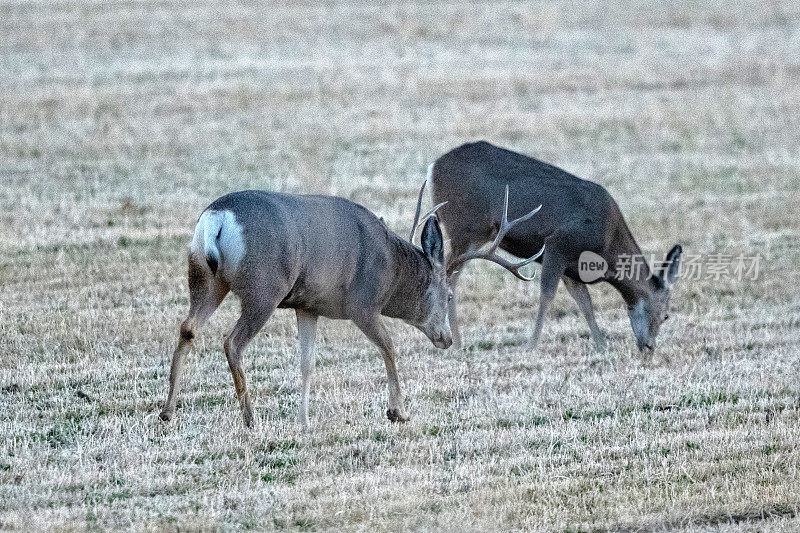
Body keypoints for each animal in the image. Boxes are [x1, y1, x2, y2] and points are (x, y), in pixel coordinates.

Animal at [159, 187, 536, 428]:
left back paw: (167, 411)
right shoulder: (362, 304)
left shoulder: (307, 305)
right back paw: (251, 418)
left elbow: (307, 362)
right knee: (232, 341)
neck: (391, 269)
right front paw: (398, 412)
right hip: (264, 288)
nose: (446, 339)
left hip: (205, 277)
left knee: (188, 328)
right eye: (450, 297)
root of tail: (217, 219)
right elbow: (389, 347)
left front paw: (304, 421)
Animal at [424, 140, 680, 354]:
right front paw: (531, 346)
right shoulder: (559, 243)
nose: (649, 347)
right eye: (666, 315)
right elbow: (547, 294)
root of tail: (433, 166)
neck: (607, 247)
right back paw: (457, 343)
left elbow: (584, 301)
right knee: (449, 277)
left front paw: (601, 344)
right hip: (465, 228)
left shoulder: (571, 266)